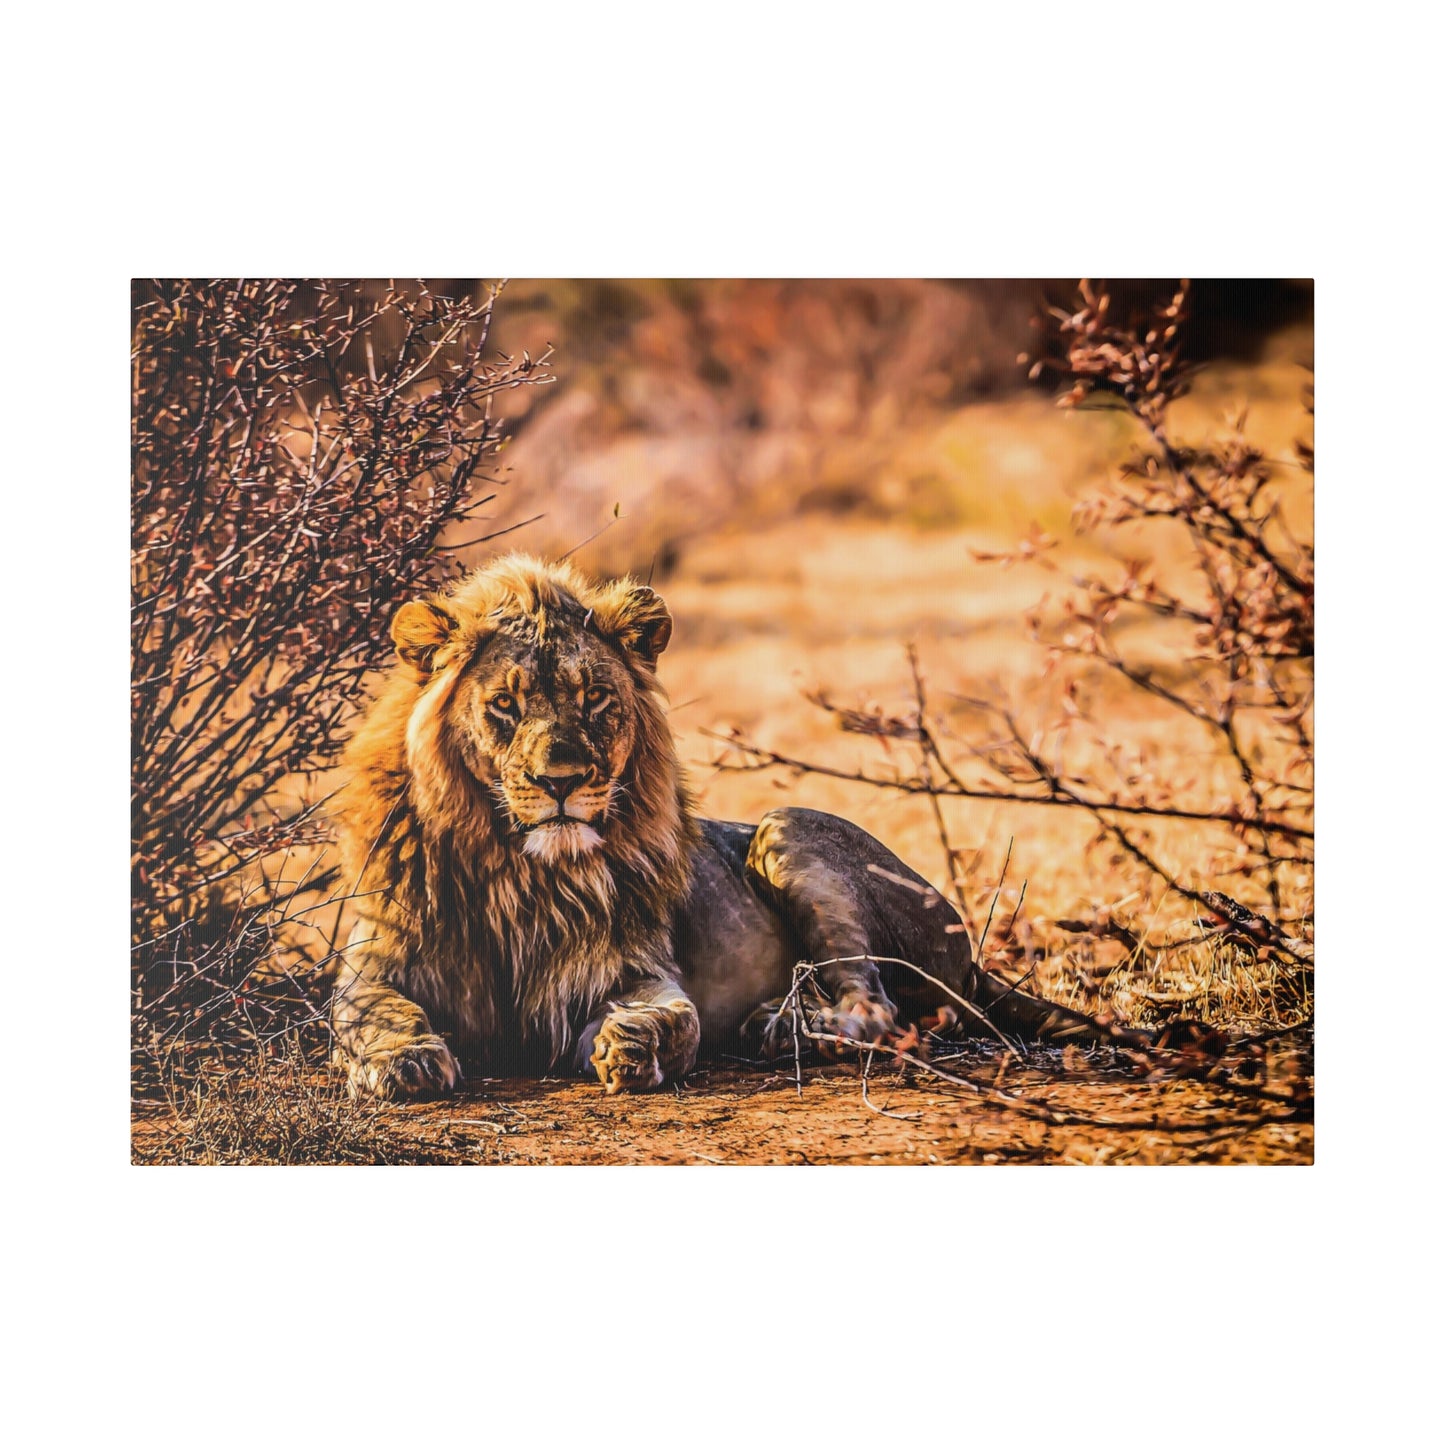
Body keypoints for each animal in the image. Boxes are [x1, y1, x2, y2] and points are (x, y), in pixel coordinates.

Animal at [332, 551, 1109, 1092]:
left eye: (594, 699)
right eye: (505, 704)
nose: (562, 782)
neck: (519, 873)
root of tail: (971, 957)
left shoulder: (634, 969)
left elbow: (677, 1016)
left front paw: (634, 1046)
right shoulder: (373, 964)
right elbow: (372, 1014)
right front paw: (404, 1061)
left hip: (787, 830)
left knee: (876, 1007)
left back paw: (786, 1027)